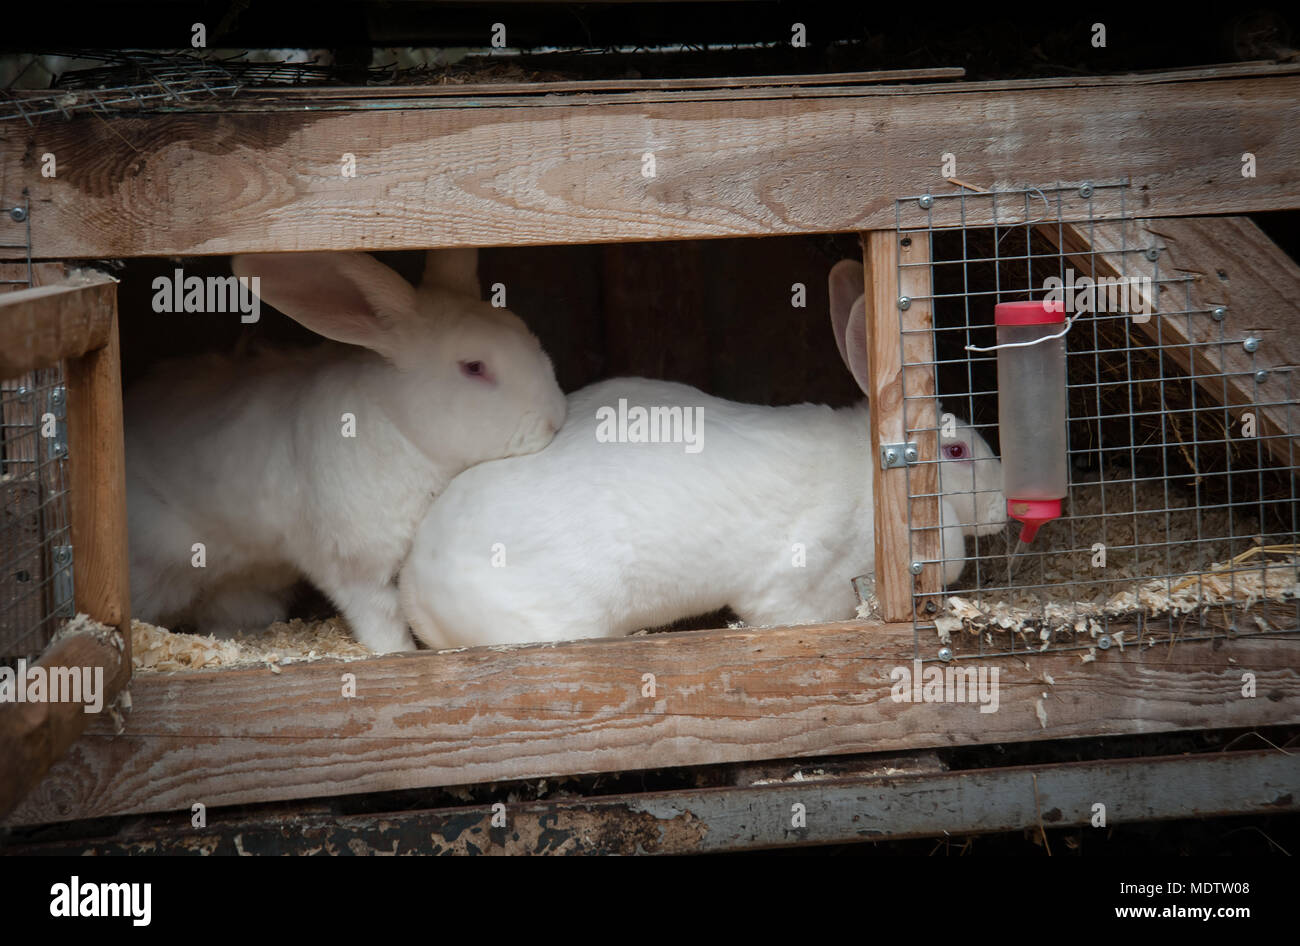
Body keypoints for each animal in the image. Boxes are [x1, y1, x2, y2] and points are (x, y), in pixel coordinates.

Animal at [125, 248, 567, 653]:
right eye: (474, 367)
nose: (555, 418)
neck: (400, 428)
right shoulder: (355, 564)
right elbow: (380, 617)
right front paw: (399, 654)